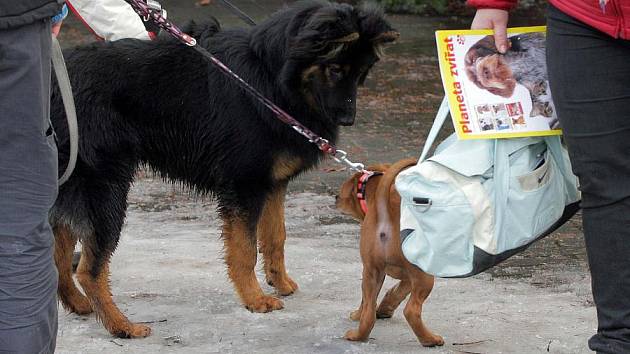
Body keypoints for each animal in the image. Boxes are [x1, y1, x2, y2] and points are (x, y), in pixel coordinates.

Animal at [49, 1, 398, 338]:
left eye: (362, 73)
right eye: (335, 69)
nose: (347, 119)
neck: (268, 78)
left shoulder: (272, 185)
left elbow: (276, 237)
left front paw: (279, 282)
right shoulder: (245, 186)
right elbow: (244, 250)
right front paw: (254, 298)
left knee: (58, 253)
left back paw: (79, 304)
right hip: (105, 192)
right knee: (89, 269)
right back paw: (120, 325)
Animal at [338, 159, 446, 348]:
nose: (336, 198)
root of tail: (387, 210)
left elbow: (392, 292)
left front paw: (383, 309)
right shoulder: (412, 274)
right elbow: (401, 290)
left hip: (371, 273)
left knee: (368, 310)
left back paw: (357, 334)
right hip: (423, 274)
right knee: (412, 311)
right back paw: (430, 340)